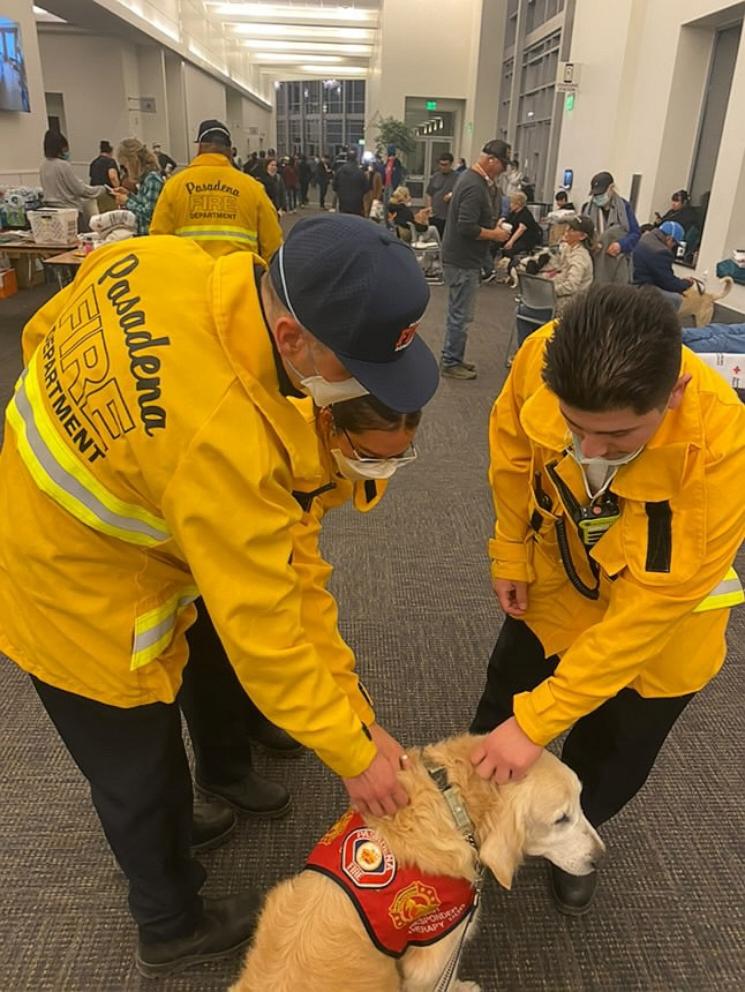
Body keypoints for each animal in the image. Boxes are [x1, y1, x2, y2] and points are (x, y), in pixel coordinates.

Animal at [231, 736, 604, 992]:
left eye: (581, 800)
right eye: (561, 819)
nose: (600, 856)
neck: (454, 805)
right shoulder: (437, 947)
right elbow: (443, 979)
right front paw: (461, 987)